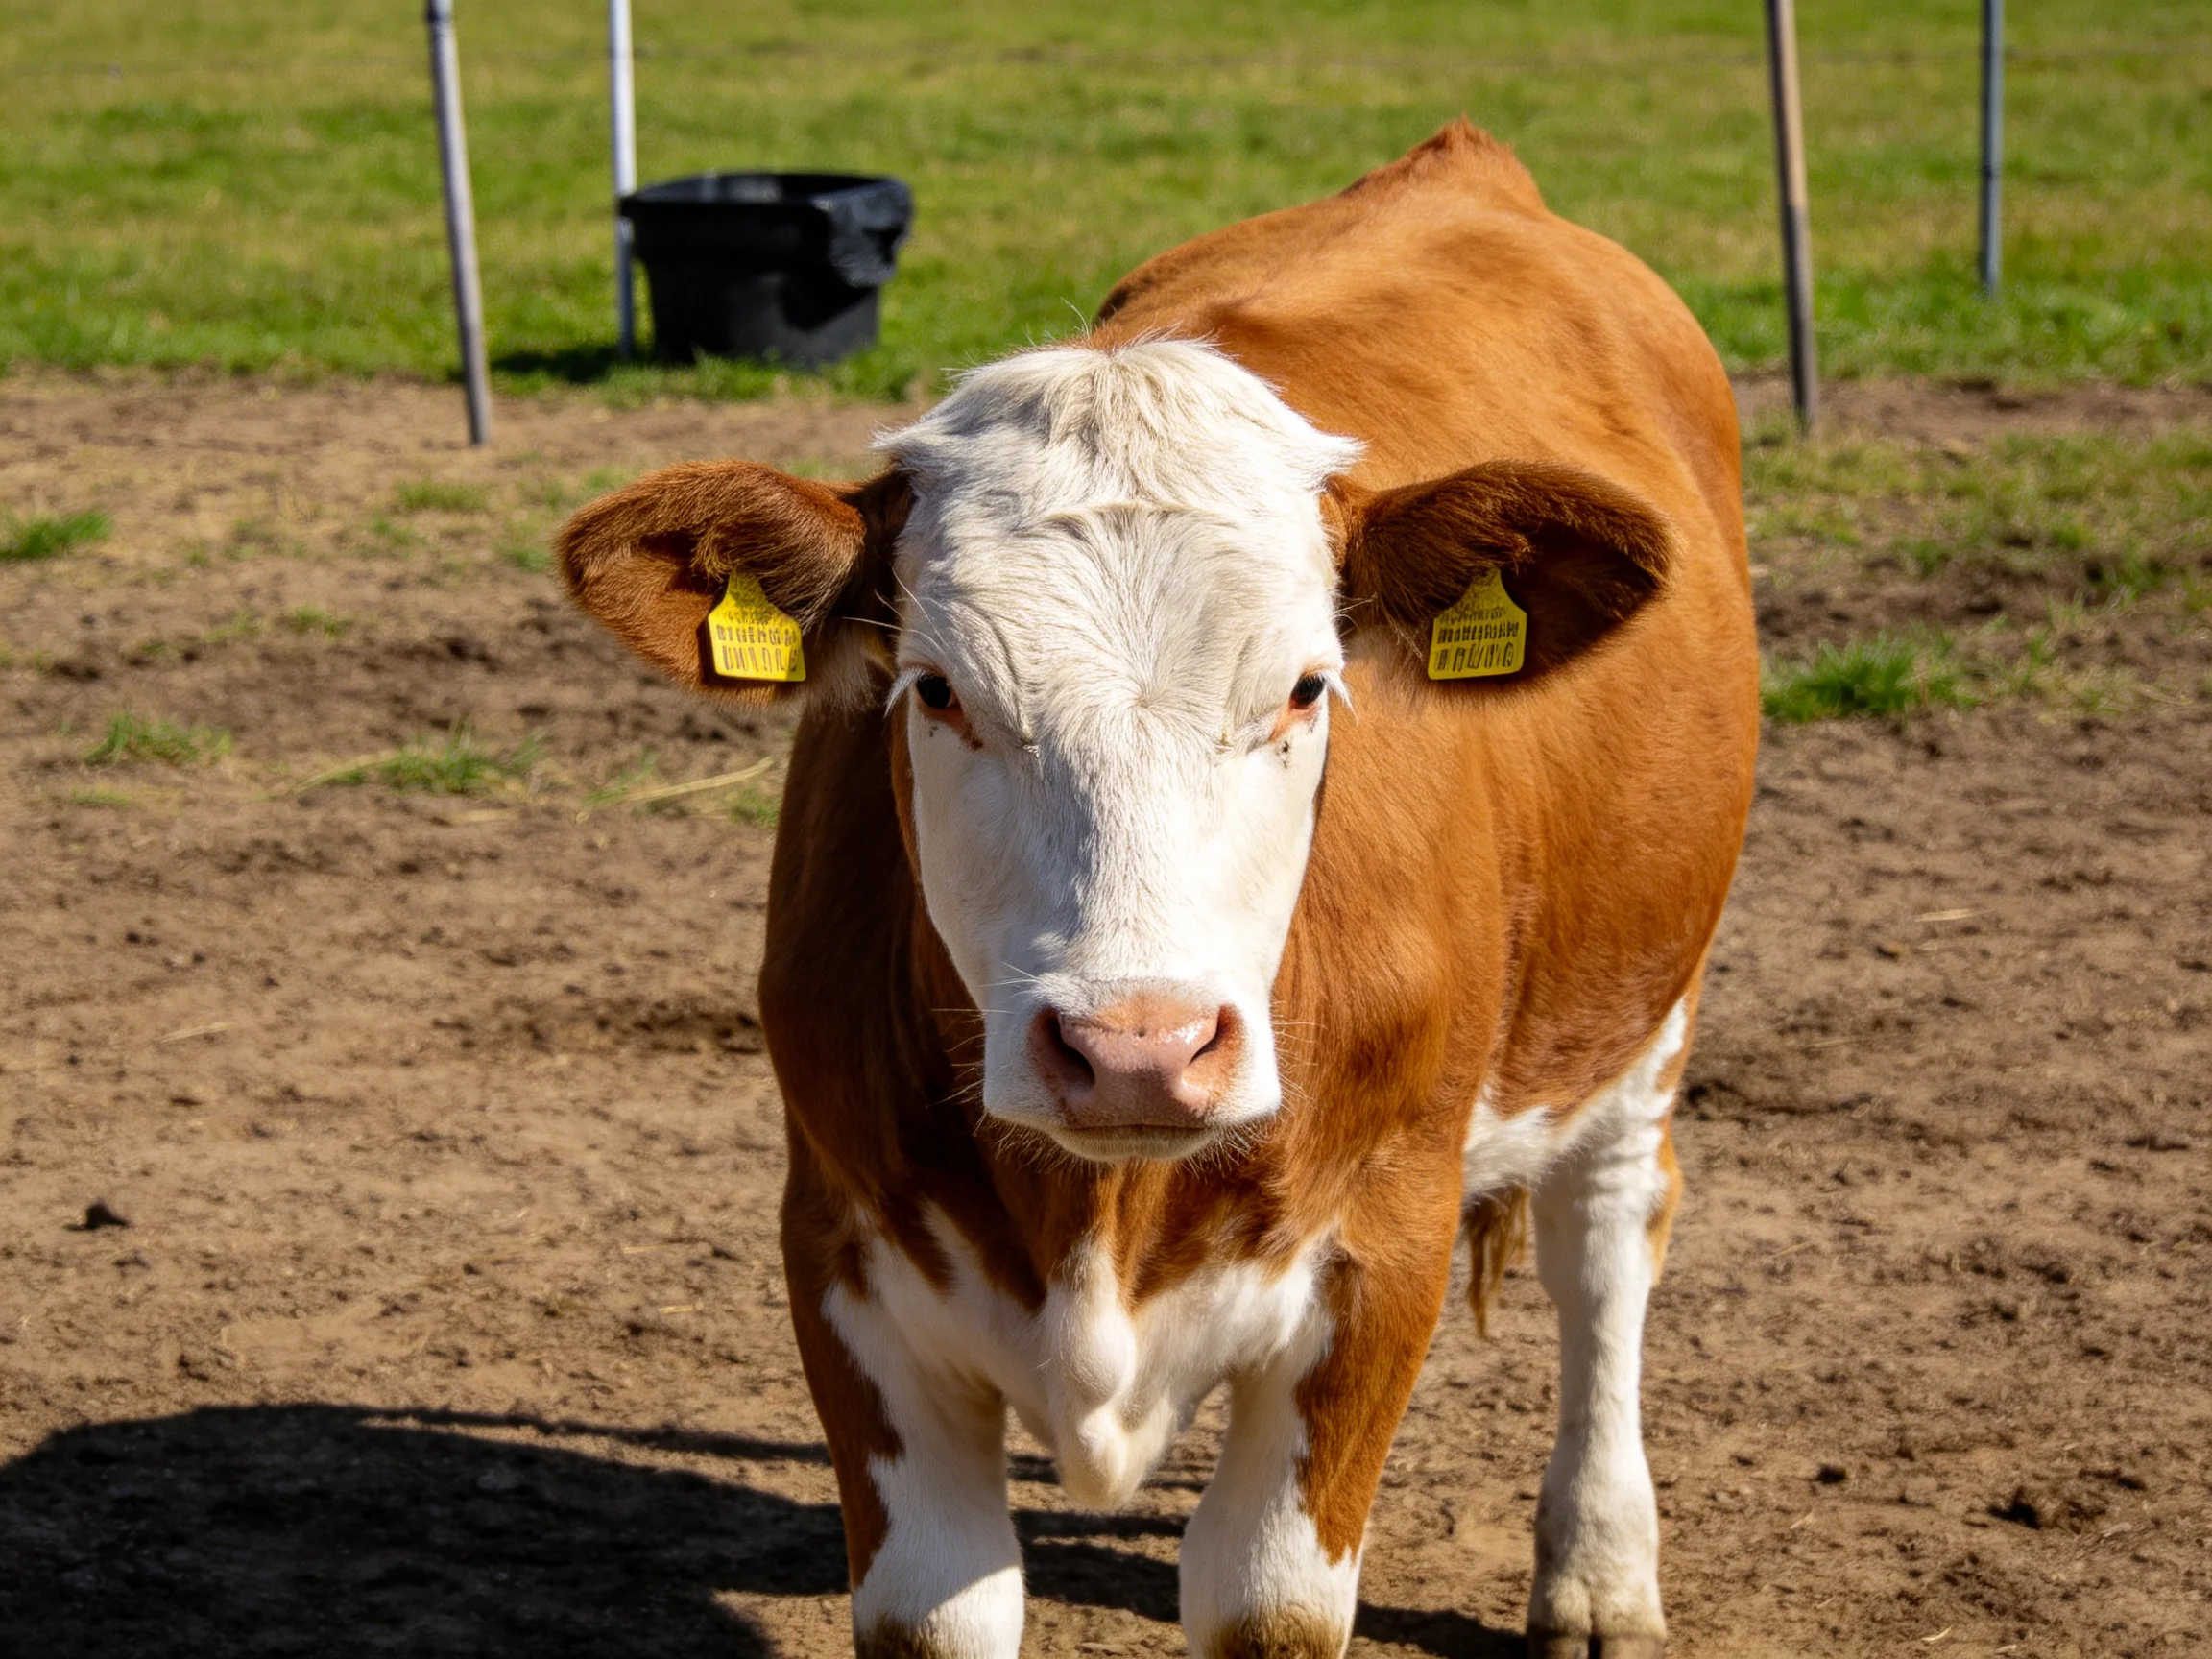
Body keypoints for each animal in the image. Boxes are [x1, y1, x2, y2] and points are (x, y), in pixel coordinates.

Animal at [558, 121, 1759, 1659]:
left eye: (1306, 687)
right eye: (935, 689)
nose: (1137, 1050)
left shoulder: (1383, 1258)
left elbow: (1269, 1599)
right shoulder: (839, 1249)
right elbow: (938, 1607)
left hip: (1647, 995)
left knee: (1604, 1233)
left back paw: (1600, 1568)